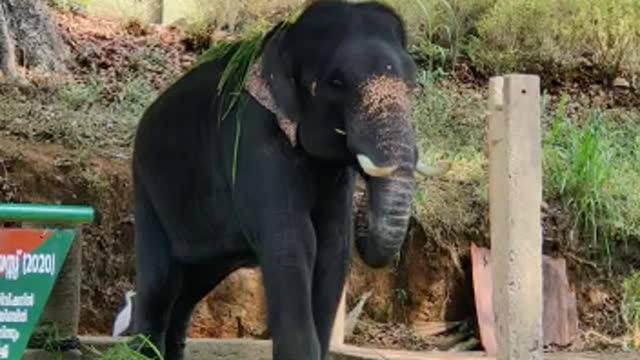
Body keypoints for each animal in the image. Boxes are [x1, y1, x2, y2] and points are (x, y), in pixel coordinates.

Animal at [128, 0, 442, 360]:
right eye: (336, 82)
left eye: (413, 83)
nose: (365, 213)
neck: (282, 40)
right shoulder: (256, 136)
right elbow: (295, 241)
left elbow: (334, 245)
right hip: (146, 185)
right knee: (160, 283)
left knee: (190, 289)